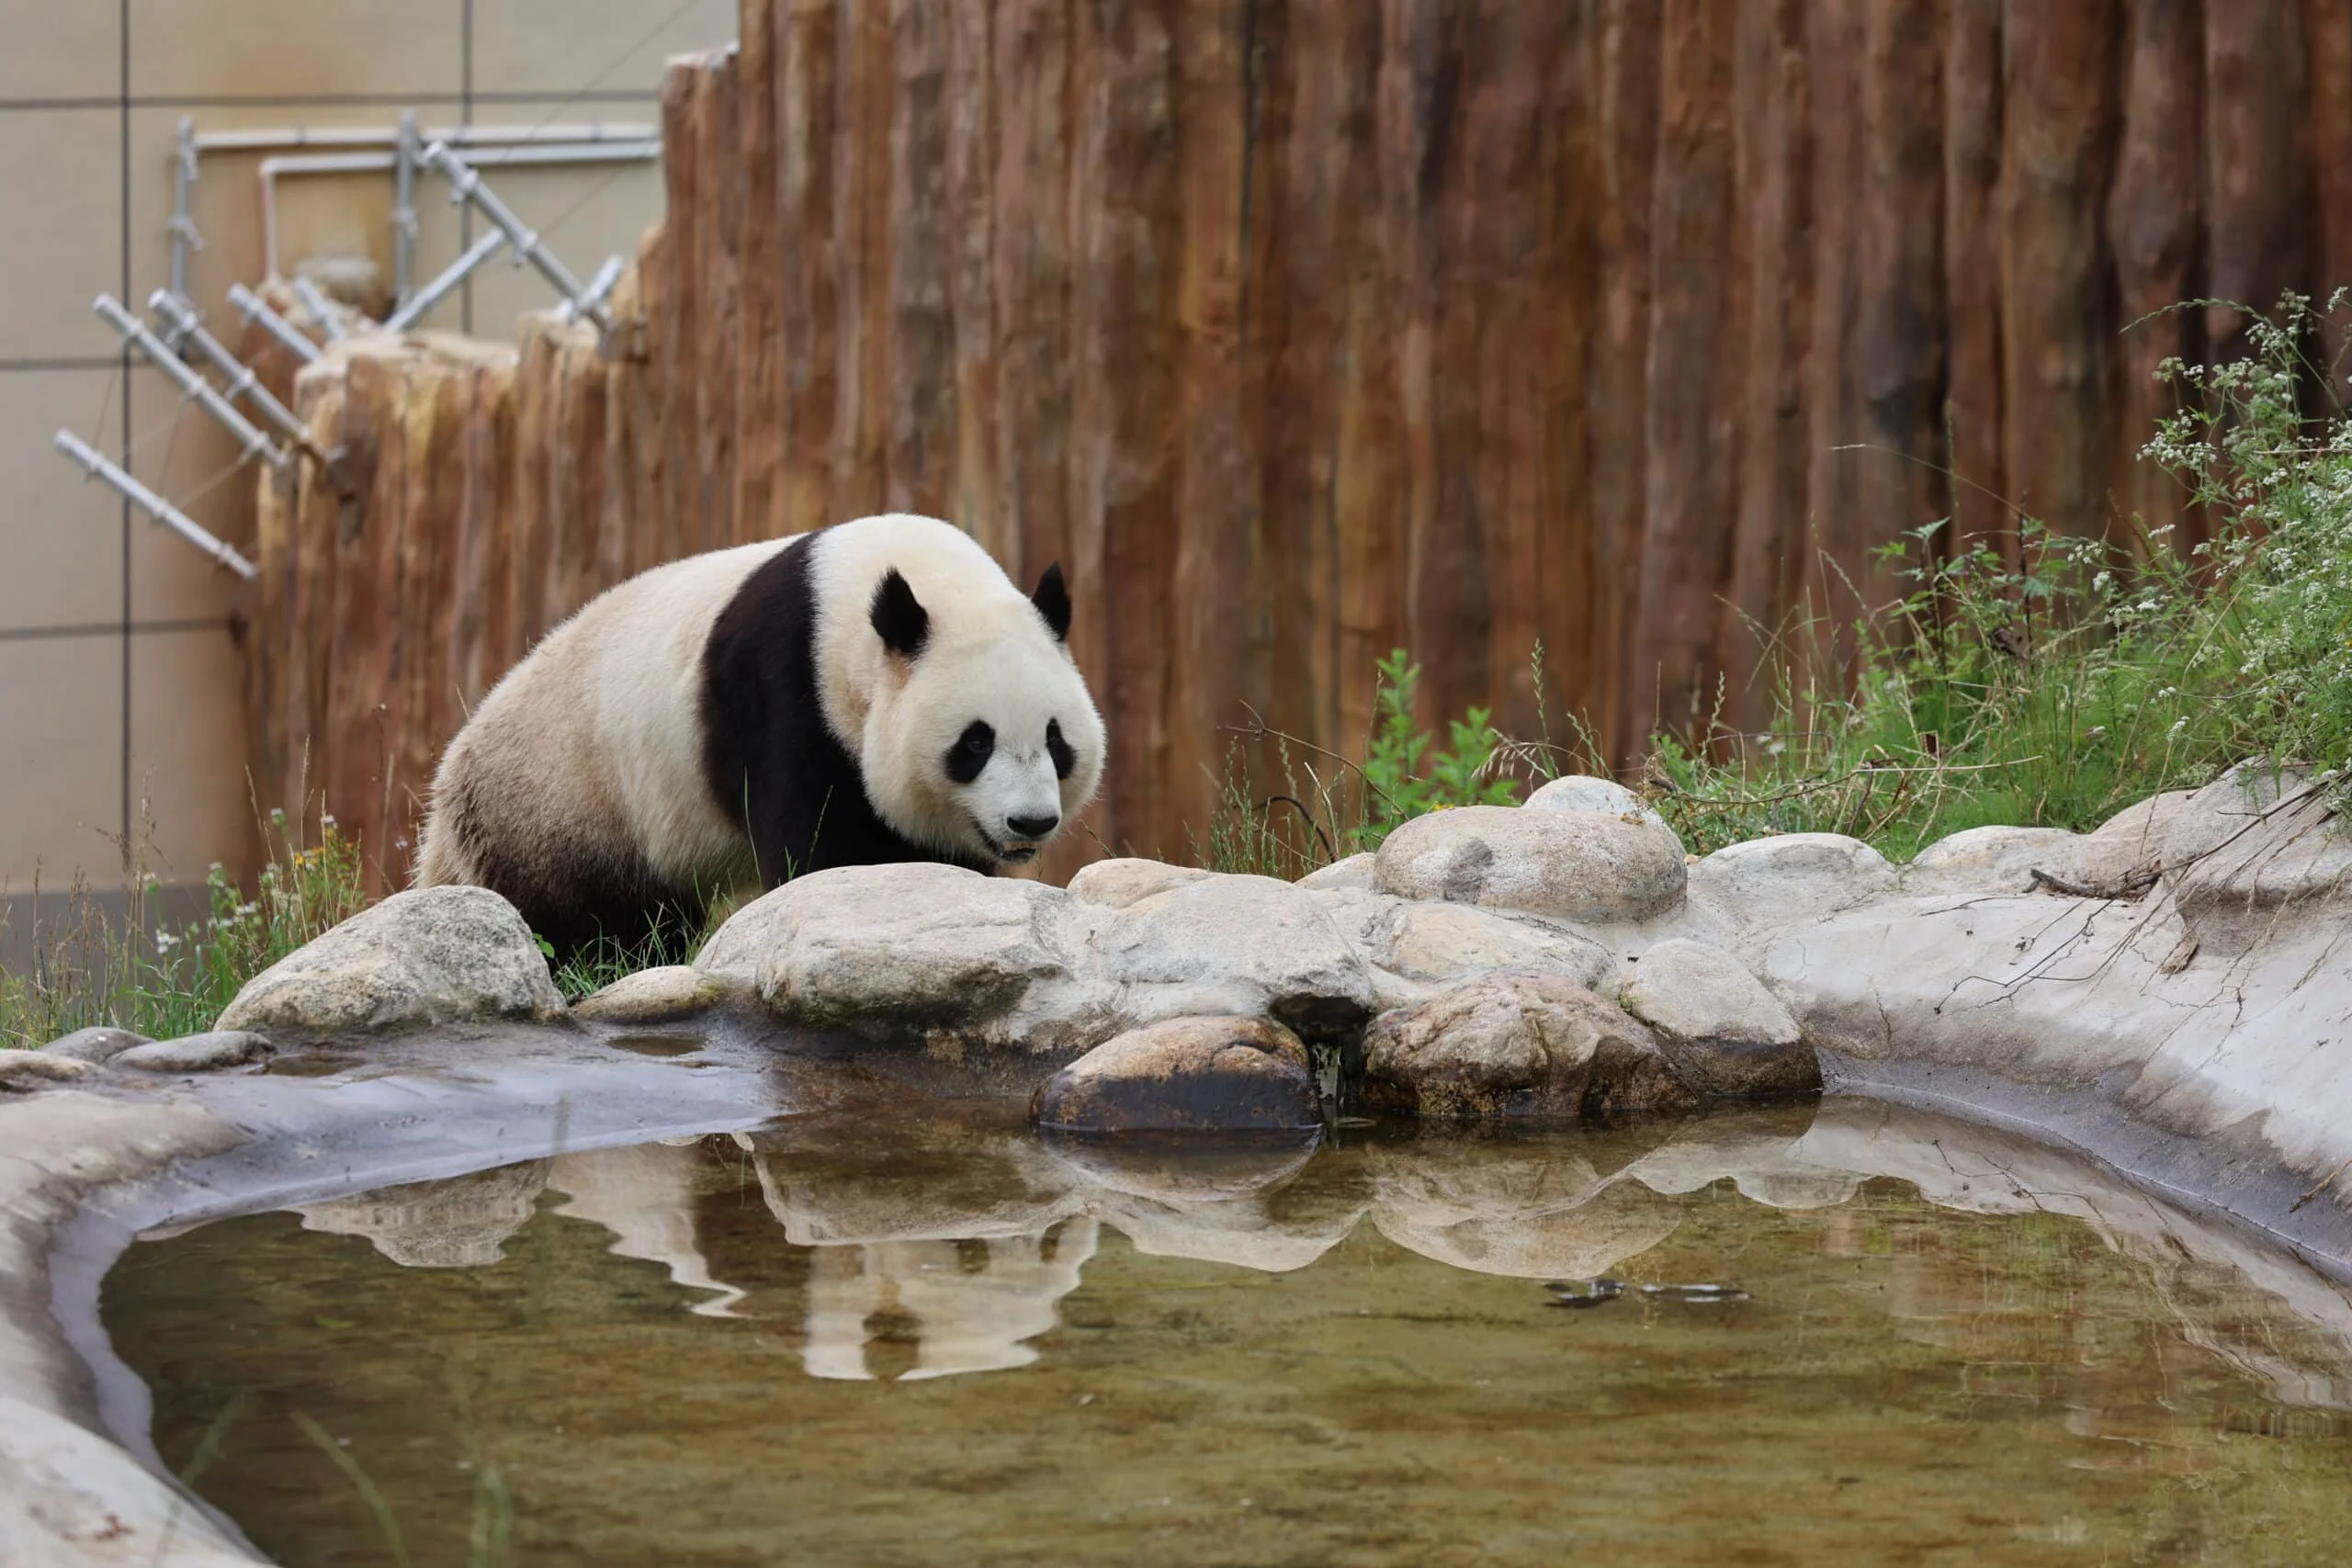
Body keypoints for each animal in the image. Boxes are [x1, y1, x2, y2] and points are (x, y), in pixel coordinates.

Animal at [415, 512, 1106, 958]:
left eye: (1056, 740)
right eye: (975, 742)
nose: (1031, 821)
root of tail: (448, 788)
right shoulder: (786, 690)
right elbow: (820, 846)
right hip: (564, 804)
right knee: (593, 923)